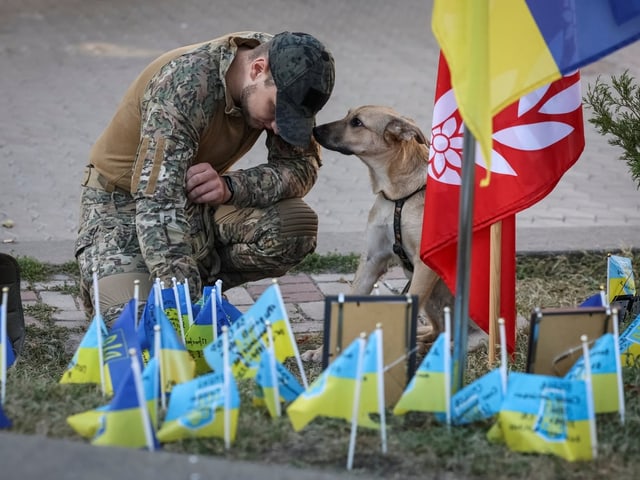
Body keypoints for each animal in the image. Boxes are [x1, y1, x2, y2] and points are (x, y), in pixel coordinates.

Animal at [302, 104, 448, 360]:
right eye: (348, 115)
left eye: (357, 122)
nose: (314, 130)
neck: (397, 196)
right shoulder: (371, 260)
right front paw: (323, 352)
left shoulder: (425, 264)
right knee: (438, 329)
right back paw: (422, 341)